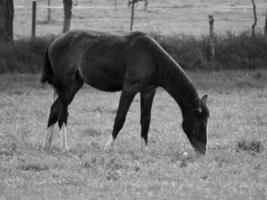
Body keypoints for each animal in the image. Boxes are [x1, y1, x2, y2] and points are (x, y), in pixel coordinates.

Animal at [41, 30, 209, 155]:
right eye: (201, 123)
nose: (203, 151)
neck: (152, 57)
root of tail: (53, 43)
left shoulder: (148, 91)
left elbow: (145, 120)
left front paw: (144, 150)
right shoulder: (130, 88)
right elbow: (119, 118)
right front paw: (107, 147)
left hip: (74, 85)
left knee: (54, 109)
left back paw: (47, 145)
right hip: (67, 87)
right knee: (62, 113)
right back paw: (64, 147)